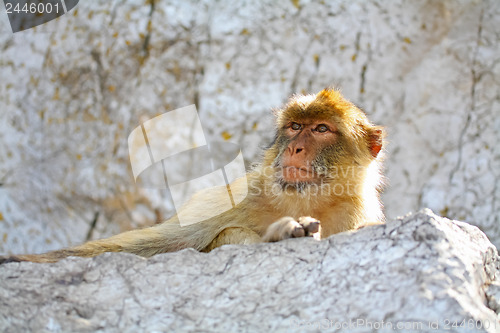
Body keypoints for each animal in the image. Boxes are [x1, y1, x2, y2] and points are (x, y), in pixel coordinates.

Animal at [0, 87, 382, 262]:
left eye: (321, 129)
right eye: (294, 127)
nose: (295, 148)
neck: (305, 199)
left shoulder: (356, 211)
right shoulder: (239, 195)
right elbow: (157, 244)